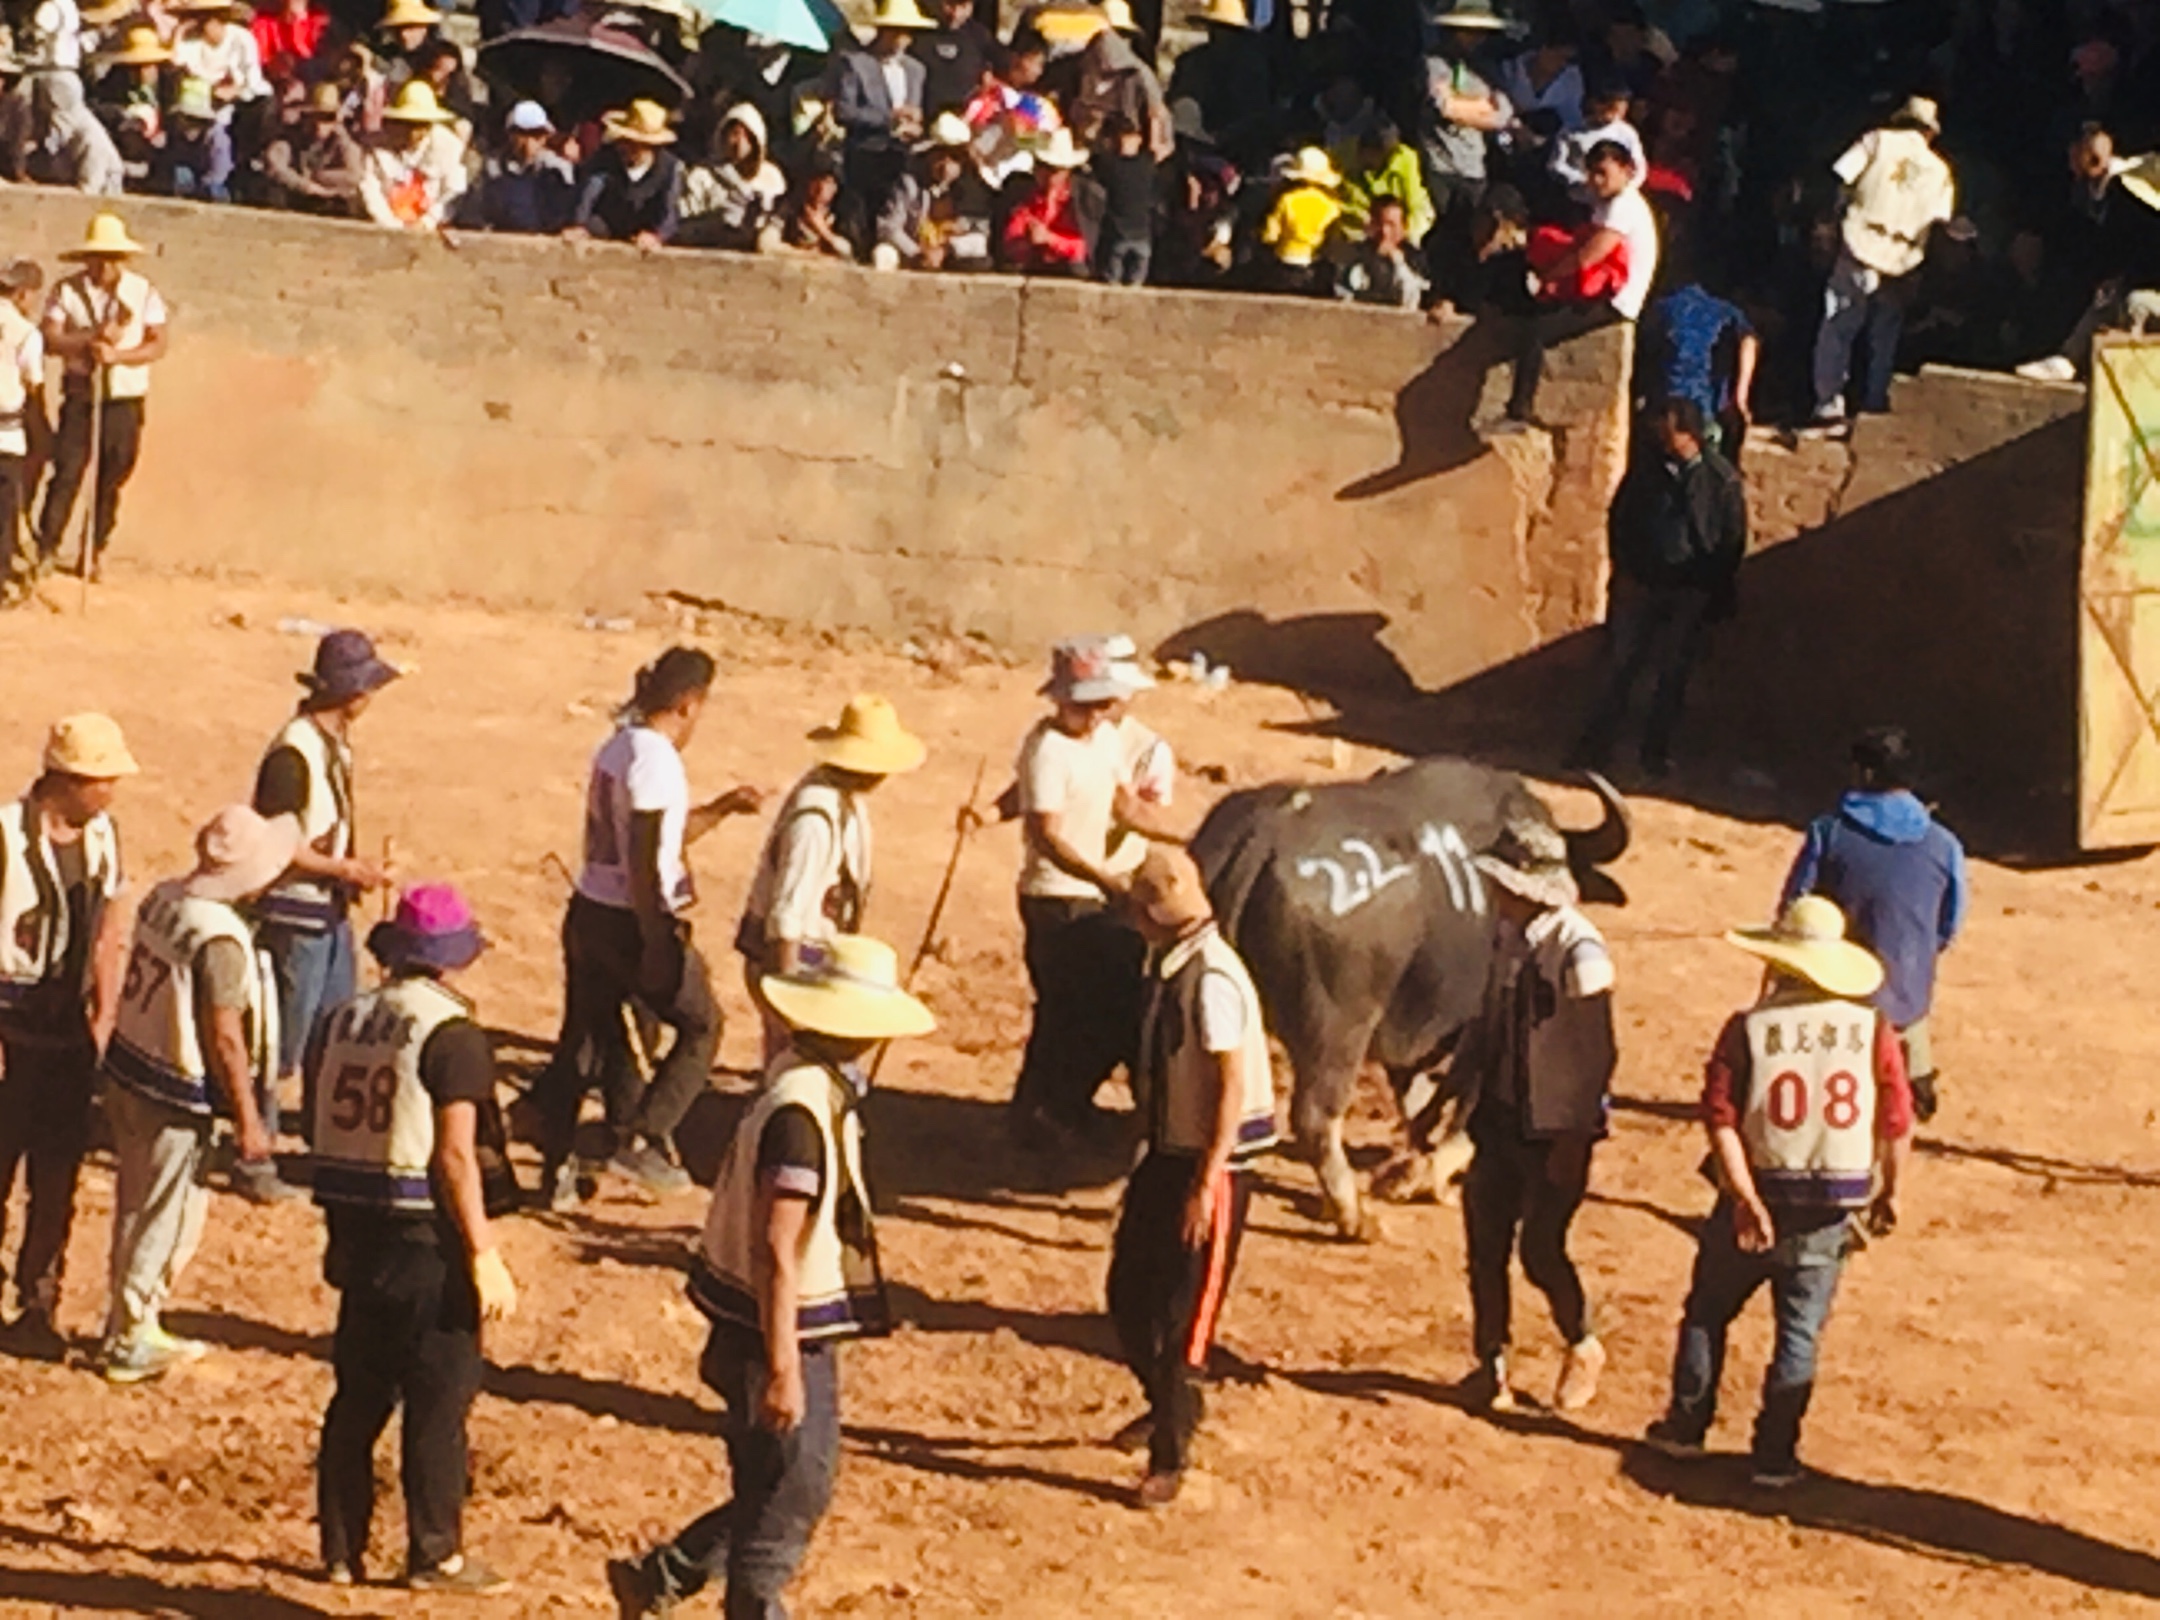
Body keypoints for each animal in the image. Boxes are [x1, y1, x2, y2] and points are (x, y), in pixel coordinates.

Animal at [1192, 760, 1624, 1244]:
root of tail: (1264, 834)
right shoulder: (1484, 1028)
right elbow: (1465, 1105)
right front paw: (1430, 1175)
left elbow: (1419, 1105)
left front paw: (1412, 1169)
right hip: (1337, 1033)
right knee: (1315, 1117)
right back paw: (1355, 1218)